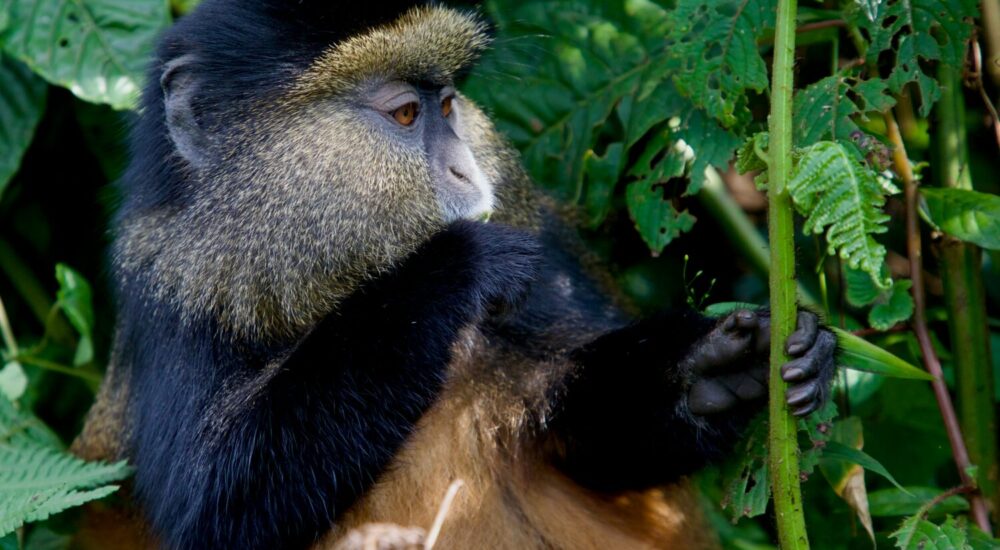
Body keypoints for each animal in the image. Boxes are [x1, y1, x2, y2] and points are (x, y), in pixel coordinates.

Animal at [71, 2, 839, 549]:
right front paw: (455, 266)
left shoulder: (545, 251)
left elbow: (593, 446)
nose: (468, 170)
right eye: (406, 113)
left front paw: (716, 368)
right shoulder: (175, 298)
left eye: (446, 104)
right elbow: (216, 510)